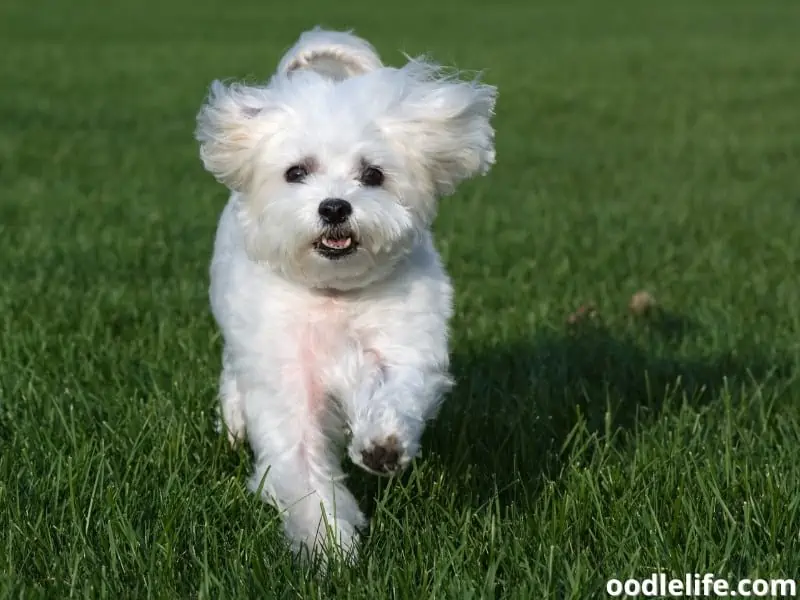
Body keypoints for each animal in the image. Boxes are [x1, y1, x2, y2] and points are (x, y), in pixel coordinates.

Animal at [195, 27, 494, 564]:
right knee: (233, 374)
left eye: (372, 174)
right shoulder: (285, 379)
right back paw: (233, 422)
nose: (334, 207)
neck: (333, 294)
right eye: (296, 172)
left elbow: (399, 387)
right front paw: (329, 547)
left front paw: (383, 445)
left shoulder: (407, 339)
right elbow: (301, 467)